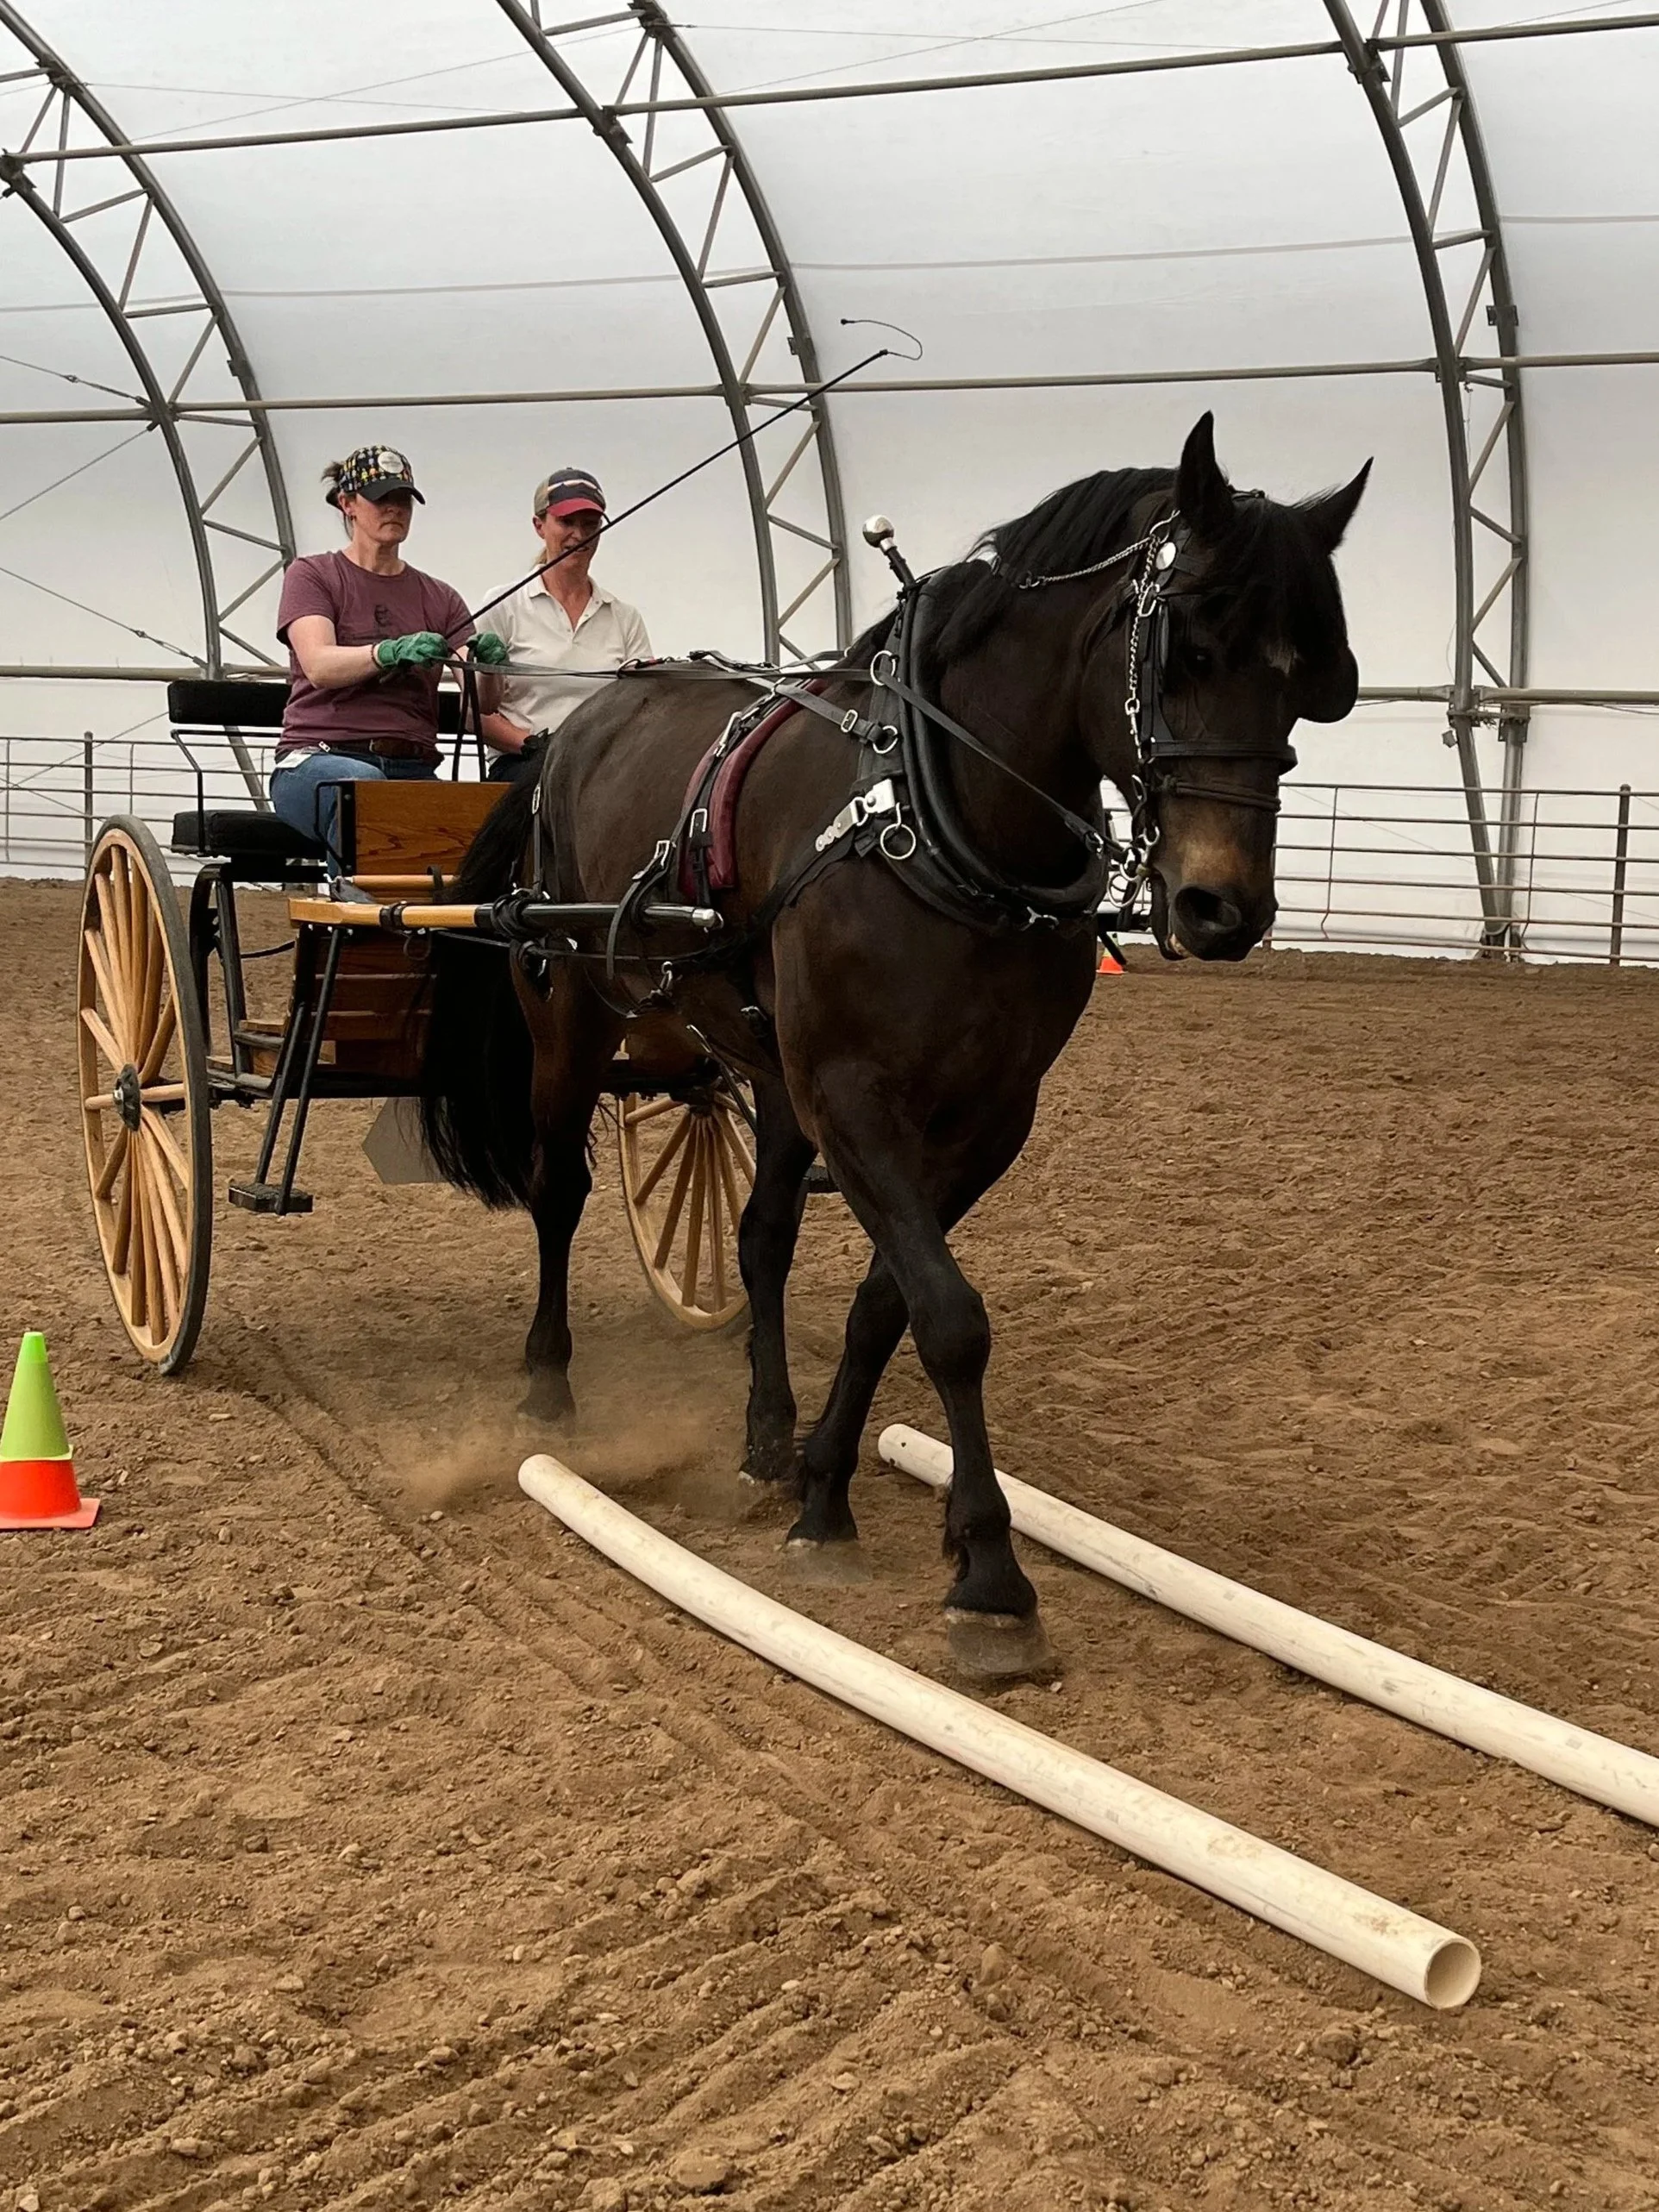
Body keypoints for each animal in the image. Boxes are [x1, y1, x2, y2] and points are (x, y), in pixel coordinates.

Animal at [421, 414, 1369, 1678]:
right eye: (1188, 650)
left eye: (1310, 683)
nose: (1225, 909)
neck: (941, 816)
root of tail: (572, 733)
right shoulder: (854, 1095)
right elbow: (953, 1319)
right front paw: (991, 1572)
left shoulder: (983, 1115)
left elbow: (889, 1301)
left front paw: (826, 1492)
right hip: (571, 1013)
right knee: (559, 1190)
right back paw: (546, 1383)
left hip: (764, 1066)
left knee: (760, 1237)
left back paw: (765, 1436)